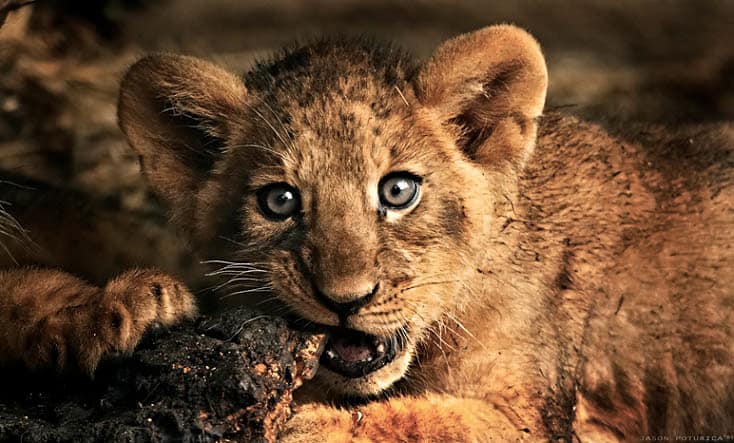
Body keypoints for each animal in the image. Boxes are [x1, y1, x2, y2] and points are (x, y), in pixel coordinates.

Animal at [0, 24, 732, 441]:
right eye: (279, 201)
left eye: (398, 191)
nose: (344, 299)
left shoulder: (539, 415)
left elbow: (424, 420)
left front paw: (306, 424)